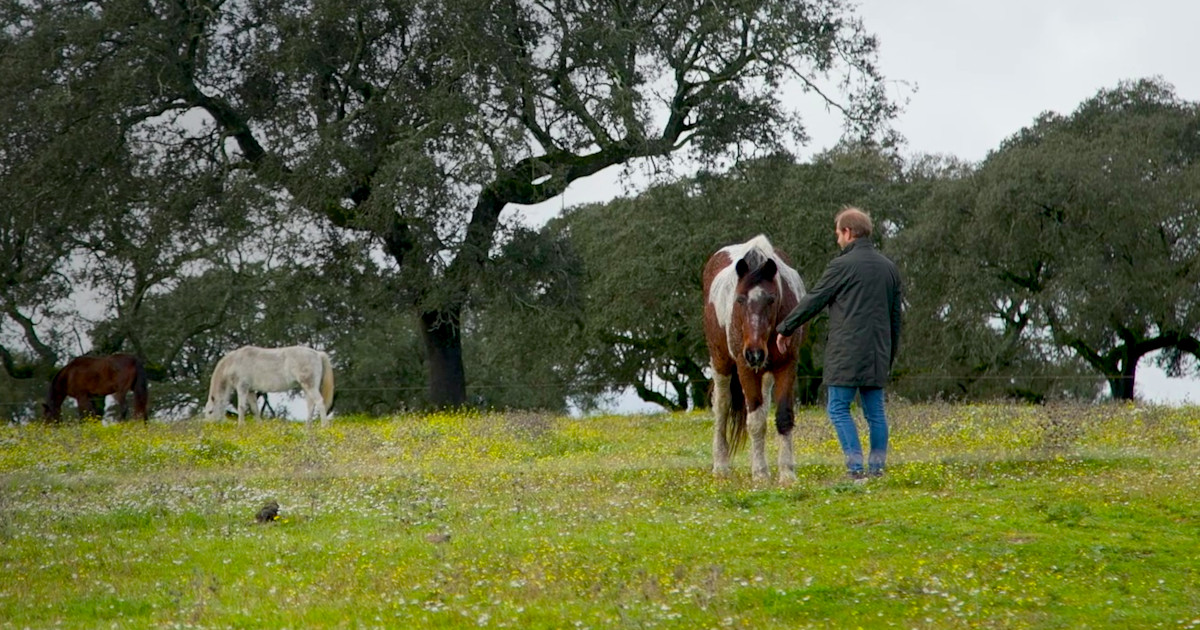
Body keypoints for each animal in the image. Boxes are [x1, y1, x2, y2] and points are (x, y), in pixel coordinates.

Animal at [201, 343, 333, 427]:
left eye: (210, 411)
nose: (208, 427)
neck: (234, 362)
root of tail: (318, 354)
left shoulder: (242, 387)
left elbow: (241, 407)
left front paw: (240, 426)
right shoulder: (250, 390)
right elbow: (255, 409)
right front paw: (259, 426)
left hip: (310, 386)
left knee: (319, 402)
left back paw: (324, 425)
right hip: (307, 387)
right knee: (310, 405)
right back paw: (307, 427)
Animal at [700, 232, 806, 484]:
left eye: (771, 299)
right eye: (739, 300)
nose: (754, 353)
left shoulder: (787, 365)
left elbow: (783, 417)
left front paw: (787, 473)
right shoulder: (745, 368)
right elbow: (755, 422)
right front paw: (760, 473)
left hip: (764, 373)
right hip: (721, 363)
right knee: (722, 407)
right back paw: (721, 466)